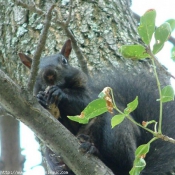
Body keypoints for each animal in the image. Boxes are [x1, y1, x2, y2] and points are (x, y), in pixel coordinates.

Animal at [18, 39, 175, 175]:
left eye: (64, 61)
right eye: (34, 68)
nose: (49, 73)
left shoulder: (92, 99)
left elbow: (82, 105)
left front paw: (60, 92)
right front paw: (41, 99)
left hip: (117, 134)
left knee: (120, 164)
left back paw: (93, 149)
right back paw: (60, 162)